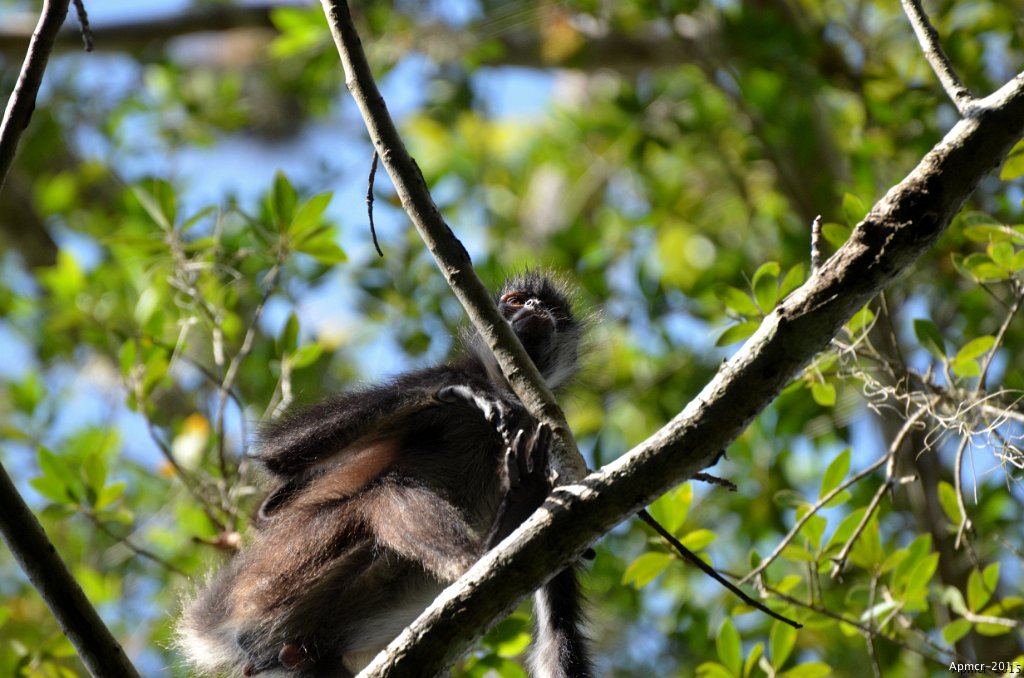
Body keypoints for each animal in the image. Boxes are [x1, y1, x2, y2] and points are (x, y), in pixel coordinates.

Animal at [177, 271, 591, 678]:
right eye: (515, 301)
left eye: (551, 308)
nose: (535, 306)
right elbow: (278, 466)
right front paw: (462, 388)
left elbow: (557, 633)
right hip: (265, 582)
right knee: (376, 496)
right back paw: (487, 546)